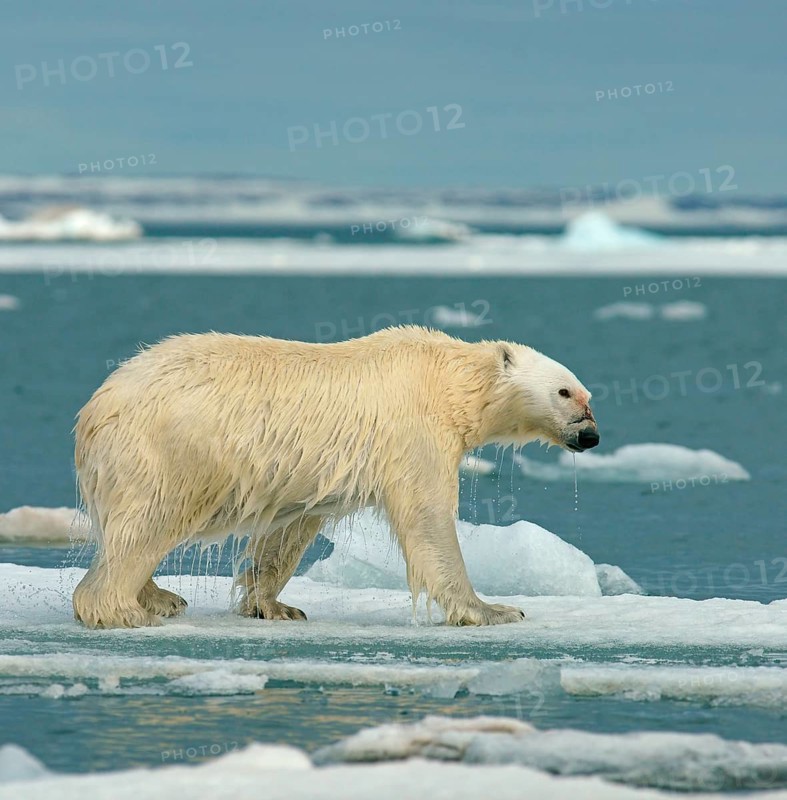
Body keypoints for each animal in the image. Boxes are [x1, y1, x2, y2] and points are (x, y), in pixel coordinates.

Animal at [72, 326, 599, 629]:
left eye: (588, 396)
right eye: (564, 391)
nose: (591, 436)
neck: (448, 381)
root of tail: (95, 409)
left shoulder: (306, 471)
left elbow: (288, 531)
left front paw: (274, 606)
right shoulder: (413, 432)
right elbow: (428, 520)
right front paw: (495, 610)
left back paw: (160, 597)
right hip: (169, 451)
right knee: (147, 525)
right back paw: (122, 610)